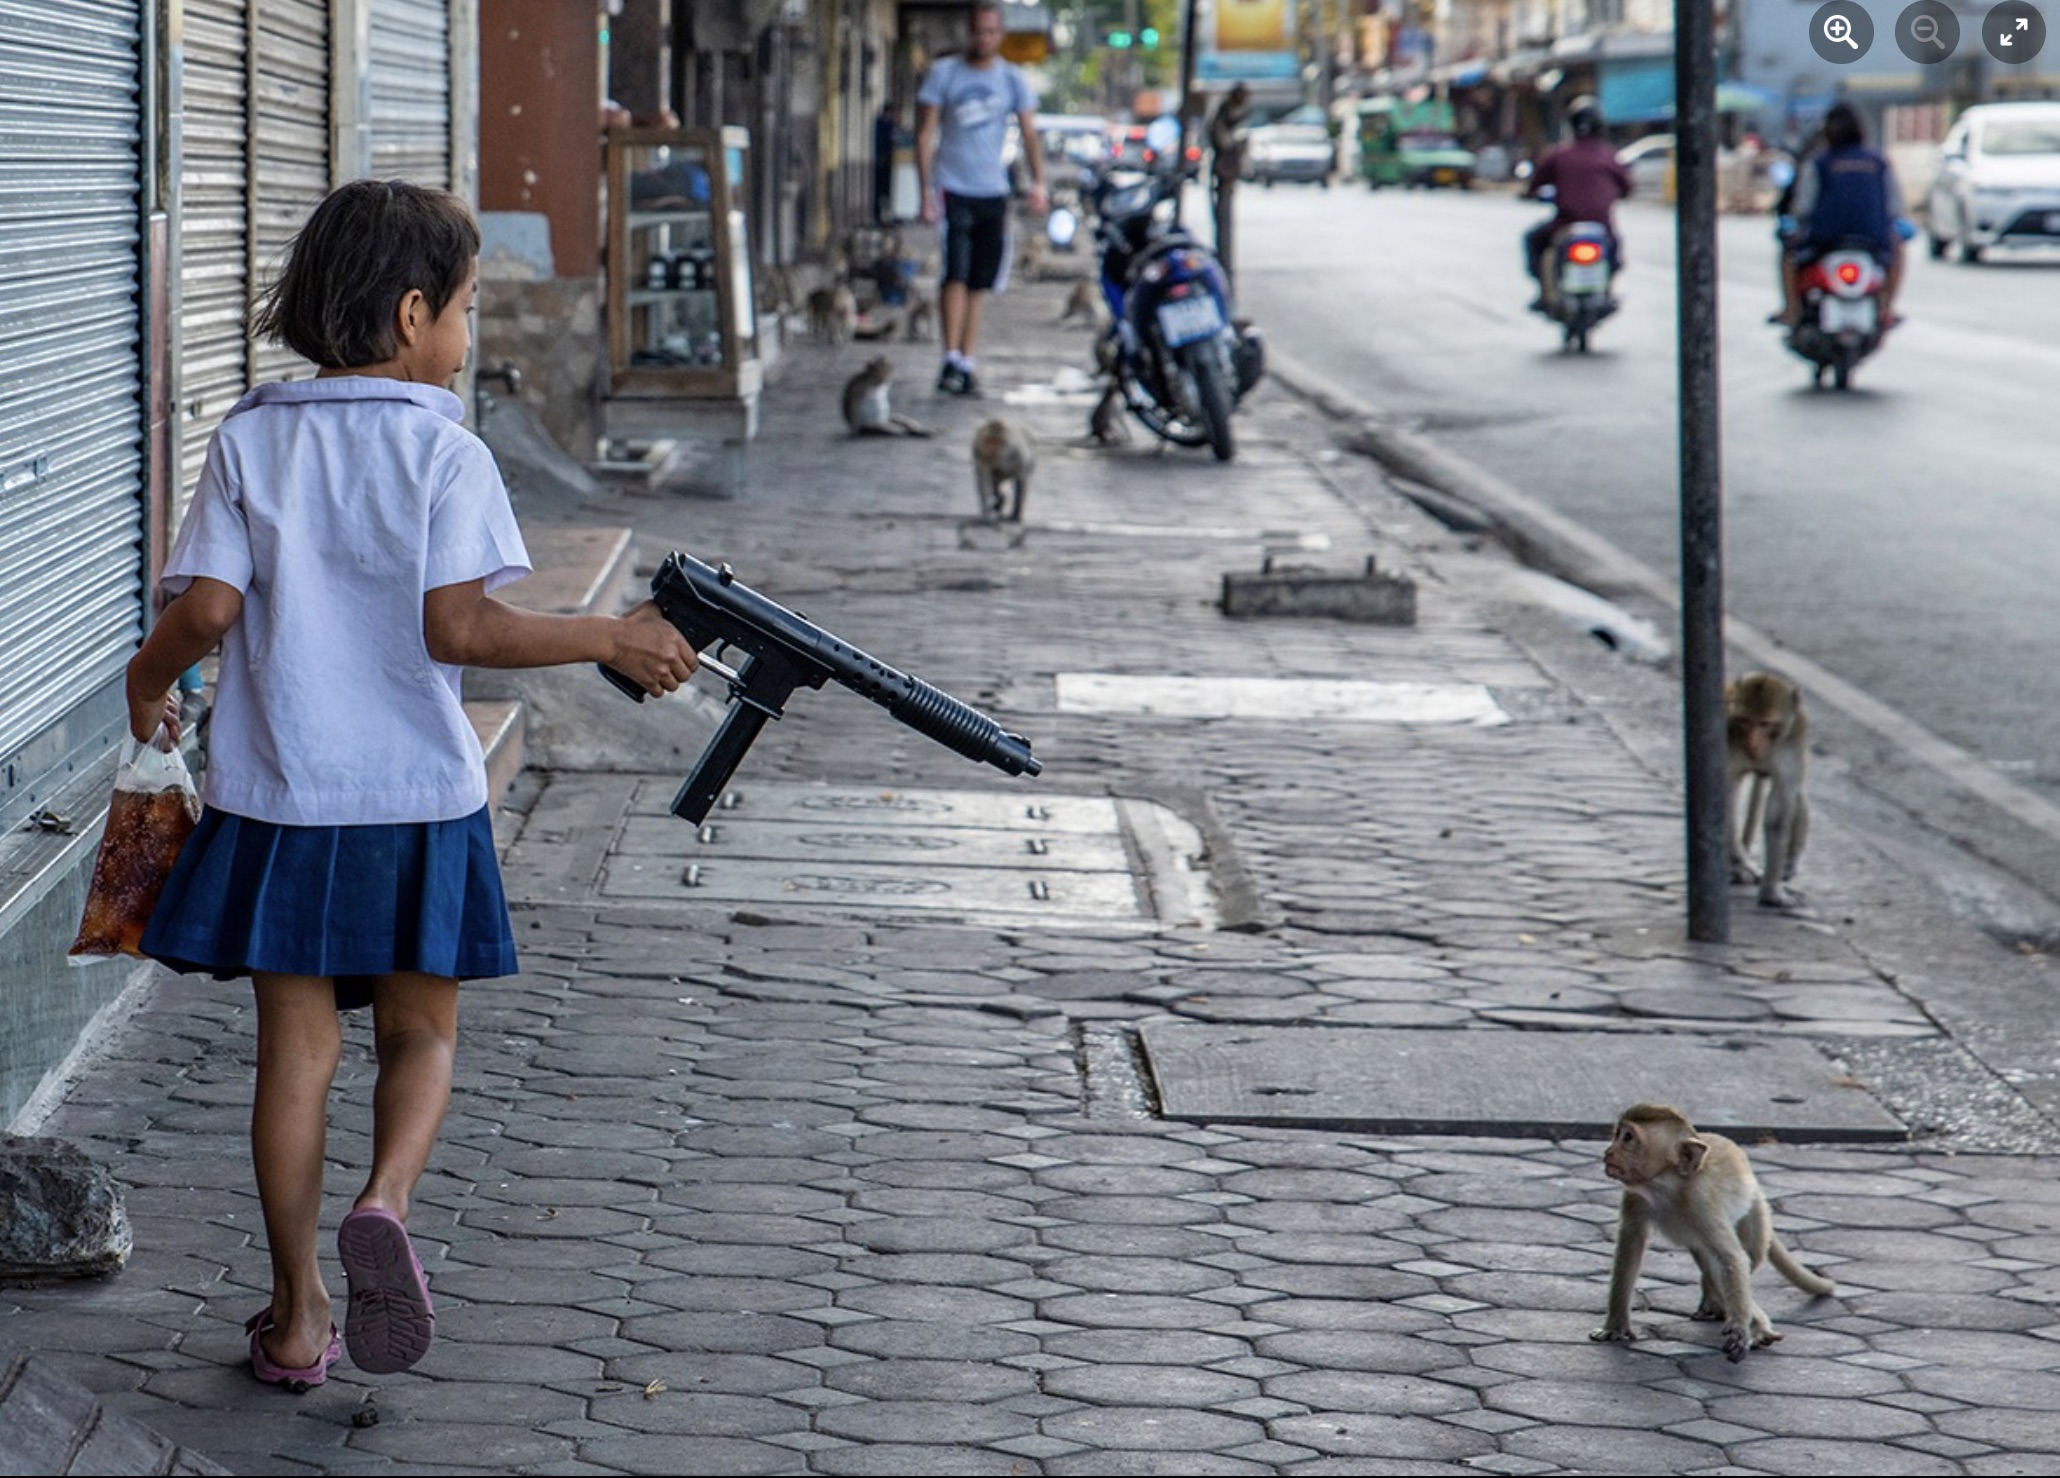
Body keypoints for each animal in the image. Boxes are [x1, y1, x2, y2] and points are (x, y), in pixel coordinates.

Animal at [1590, 1104, 1837, 1360]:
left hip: (1755, 1213)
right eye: (1617, 1134)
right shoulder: (1635, 1196)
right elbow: (1630, 1242)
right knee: (1711, 1264)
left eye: (1628, 1138)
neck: (1667, 1186)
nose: (1609, 1152)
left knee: (1742, 1258)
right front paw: (1616, 1326)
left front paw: (1742, 1328)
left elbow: (1732, 1258)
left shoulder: (1701, 1203)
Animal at [1722, 672, 1804, 907]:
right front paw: (1739, 864)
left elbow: (1778, 812)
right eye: (1745, 720)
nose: (1752, 744)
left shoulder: (1792, 745)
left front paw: (1771, 892)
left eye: (1765, 723)